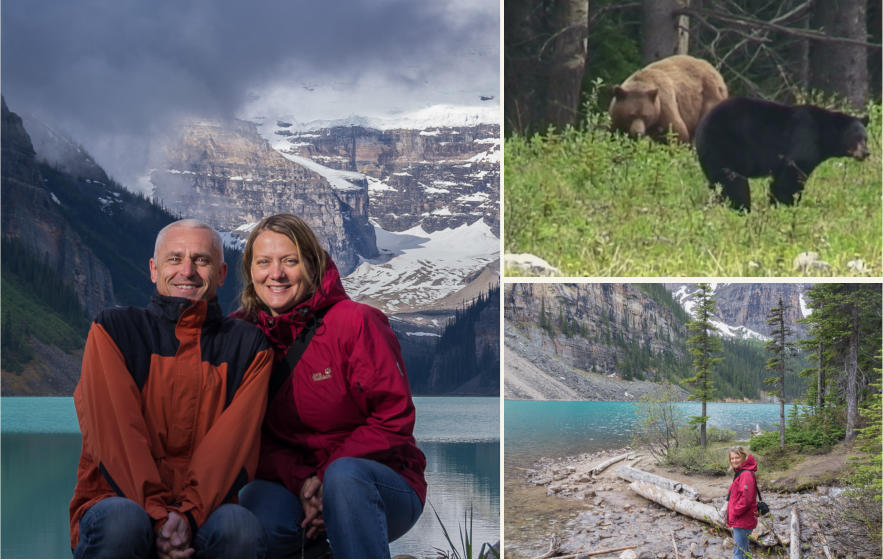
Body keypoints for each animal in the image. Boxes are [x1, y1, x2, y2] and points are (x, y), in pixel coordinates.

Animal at [692, 96, 872, 212]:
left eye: (866, 138)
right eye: (856, 138)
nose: (866, 153)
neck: (823, 133)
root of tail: (700, 127)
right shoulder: (804, 139)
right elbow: (791, 176)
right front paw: (786, 204)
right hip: (723, 146)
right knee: (733, 182)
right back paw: (741, 208)